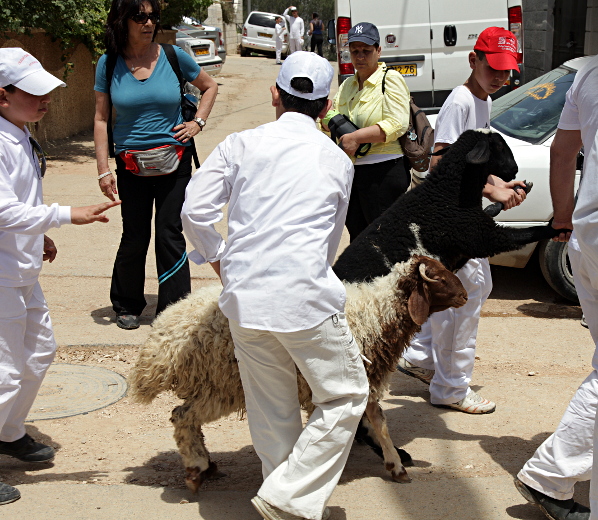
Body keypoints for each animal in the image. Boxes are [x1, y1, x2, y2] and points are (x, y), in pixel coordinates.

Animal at [129, 256, 472, 492]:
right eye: (438, 278)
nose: (467, 295)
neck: (376, 314)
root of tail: (160, 343)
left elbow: (371, 420)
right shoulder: (358, 375)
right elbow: (379, 421)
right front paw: (396, 465)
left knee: (186, 418)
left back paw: (206, 463)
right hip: (219, 386)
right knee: (182, 417)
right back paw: (196, 468)